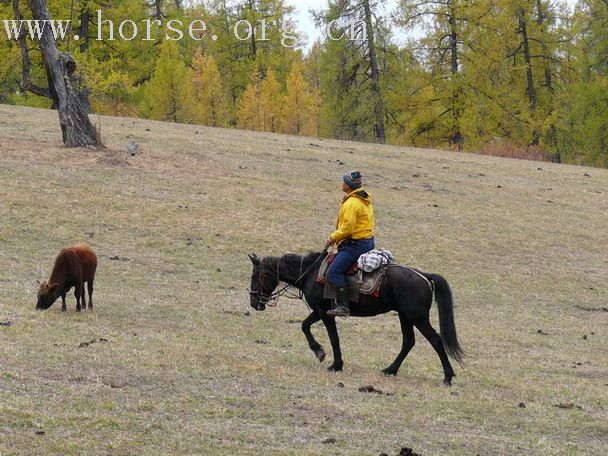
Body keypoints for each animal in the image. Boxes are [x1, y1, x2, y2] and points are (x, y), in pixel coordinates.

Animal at [248, 253, 466, 384]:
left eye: (256, 275)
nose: (253, 302)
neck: (310, 272)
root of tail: (423, 275)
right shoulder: (319, 311)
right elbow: (305, 326)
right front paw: (321, 353)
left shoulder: (324, 311)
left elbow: (332, 337)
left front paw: (333, 363)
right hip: (405, 316)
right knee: (408, 342)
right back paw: (389, 370)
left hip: (416, 317)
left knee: (435, 340)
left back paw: (448, 376)